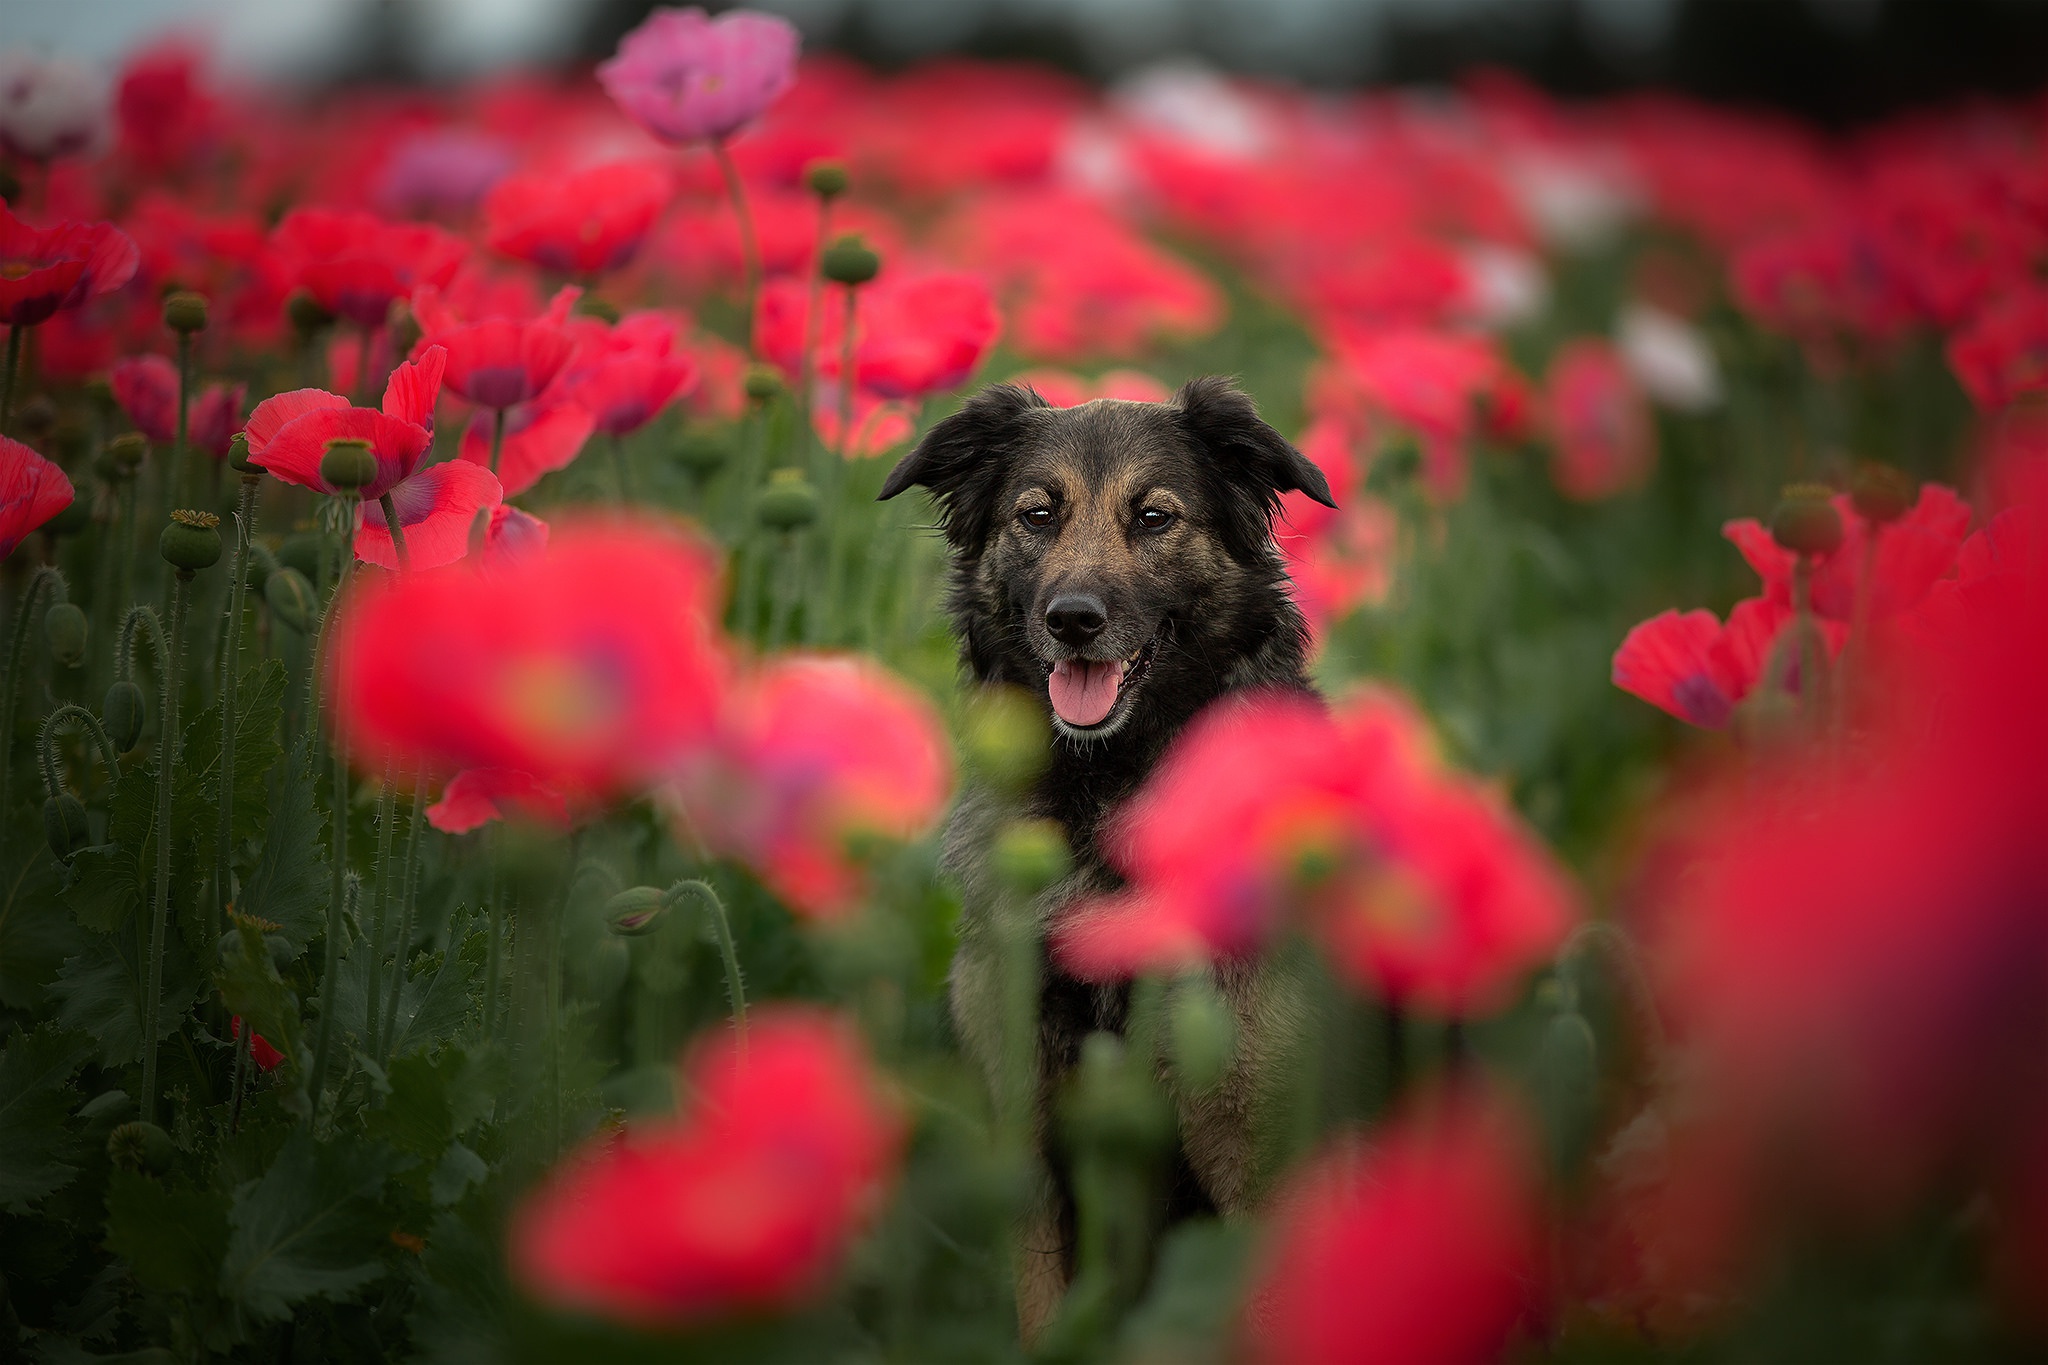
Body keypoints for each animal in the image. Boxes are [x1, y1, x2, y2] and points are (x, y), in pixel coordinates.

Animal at [876, 374, 1327, 1334]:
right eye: (1037, 513)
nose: (1073, 620)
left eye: (1155, 517)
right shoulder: (1034, 1141)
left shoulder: (1258, 1155)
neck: (1110, 804)